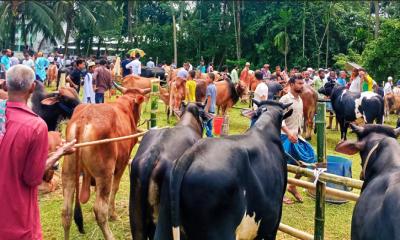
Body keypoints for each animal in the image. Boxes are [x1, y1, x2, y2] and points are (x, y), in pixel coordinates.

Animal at [61, 83, 149, 239]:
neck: (125, 106)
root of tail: (83, 120)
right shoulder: (122, 163)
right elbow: (115, 188)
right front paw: (113, 214)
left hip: (69, 173)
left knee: (66, 211)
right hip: (104, 174)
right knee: (99, 210)